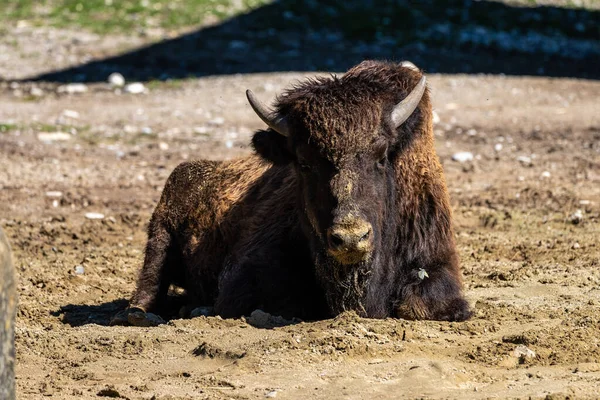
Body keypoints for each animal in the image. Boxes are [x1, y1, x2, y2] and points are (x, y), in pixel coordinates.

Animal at [113, 61, 474, 326]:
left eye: (382, 156)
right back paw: (144, 315)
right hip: (160, 233)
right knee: (149, 285)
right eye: (303, 162)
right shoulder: (247, 273)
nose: (350, 238)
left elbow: (419, 304)